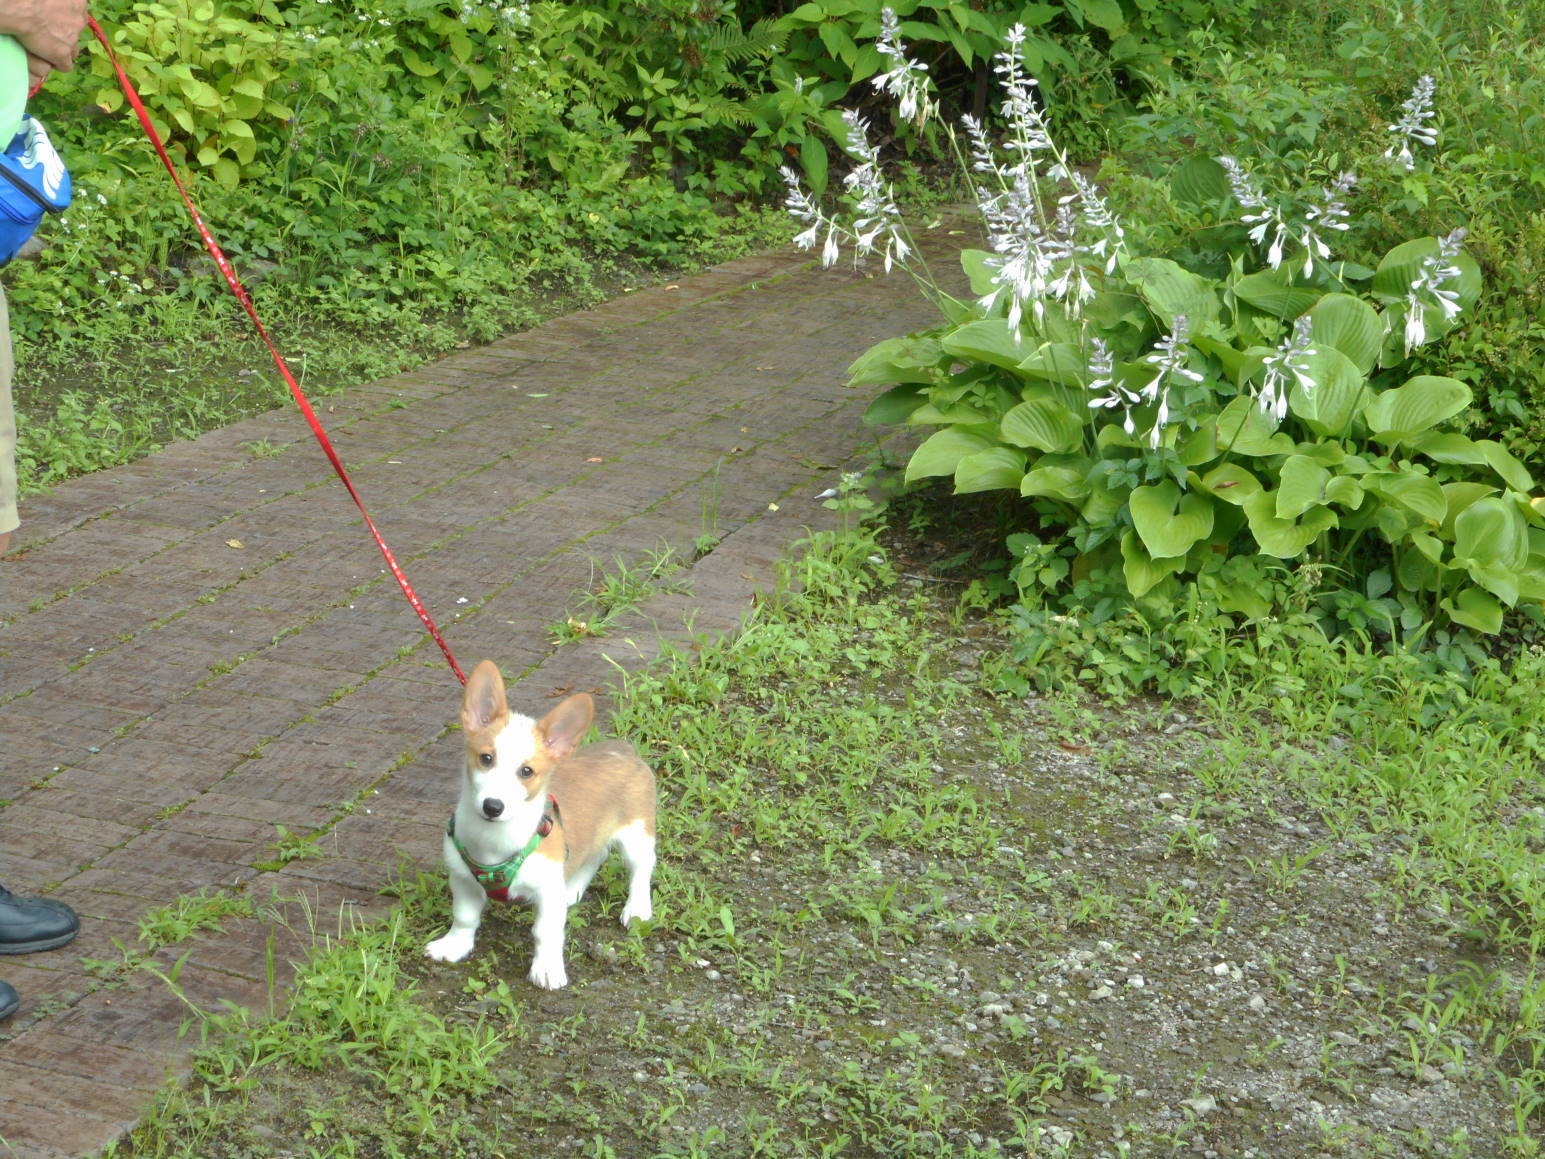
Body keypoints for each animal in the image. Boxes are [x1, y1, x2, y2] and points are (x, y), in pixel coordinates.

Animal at [426, 661, 655, 989]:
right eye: (486, 758)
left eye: (526, 771)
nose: (493, 806)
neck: (494, 840)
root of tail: (624, 750)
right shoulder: (463, 880)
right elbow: (464, 917)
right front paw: (454, 945)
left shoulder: (546, 892)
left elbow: (546, 932)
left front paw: (546, 969)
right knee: (594, 854)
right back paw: (572, 890)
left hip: (637, 834)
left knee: (641, 870)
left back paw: (637, 908)